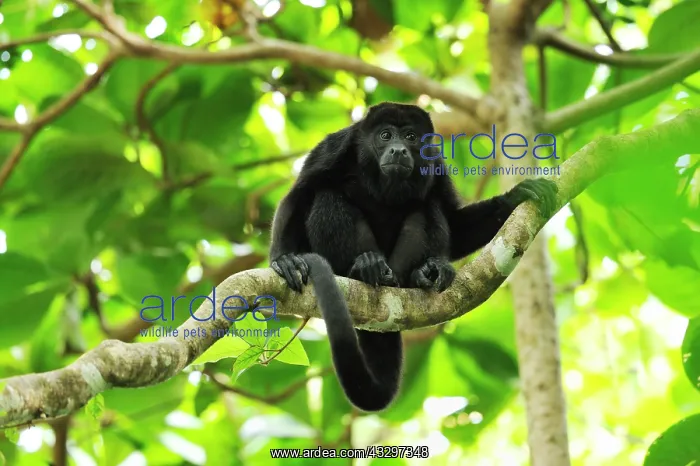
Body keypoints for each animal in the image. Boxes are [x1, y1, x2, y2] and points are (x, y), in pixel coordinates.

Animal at [269, 102, 557, 412]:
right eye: (385, 135)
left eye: (410, 136)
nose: (398, 150)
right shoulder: (333, 148)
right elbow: (298, 196)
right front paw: (284, 260)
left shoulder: (437, 164)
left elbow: (454, 223)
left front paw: (514, 197)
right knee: (327, 196)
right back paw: (364, 267)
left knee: (427, 206)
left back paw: (421, 274)